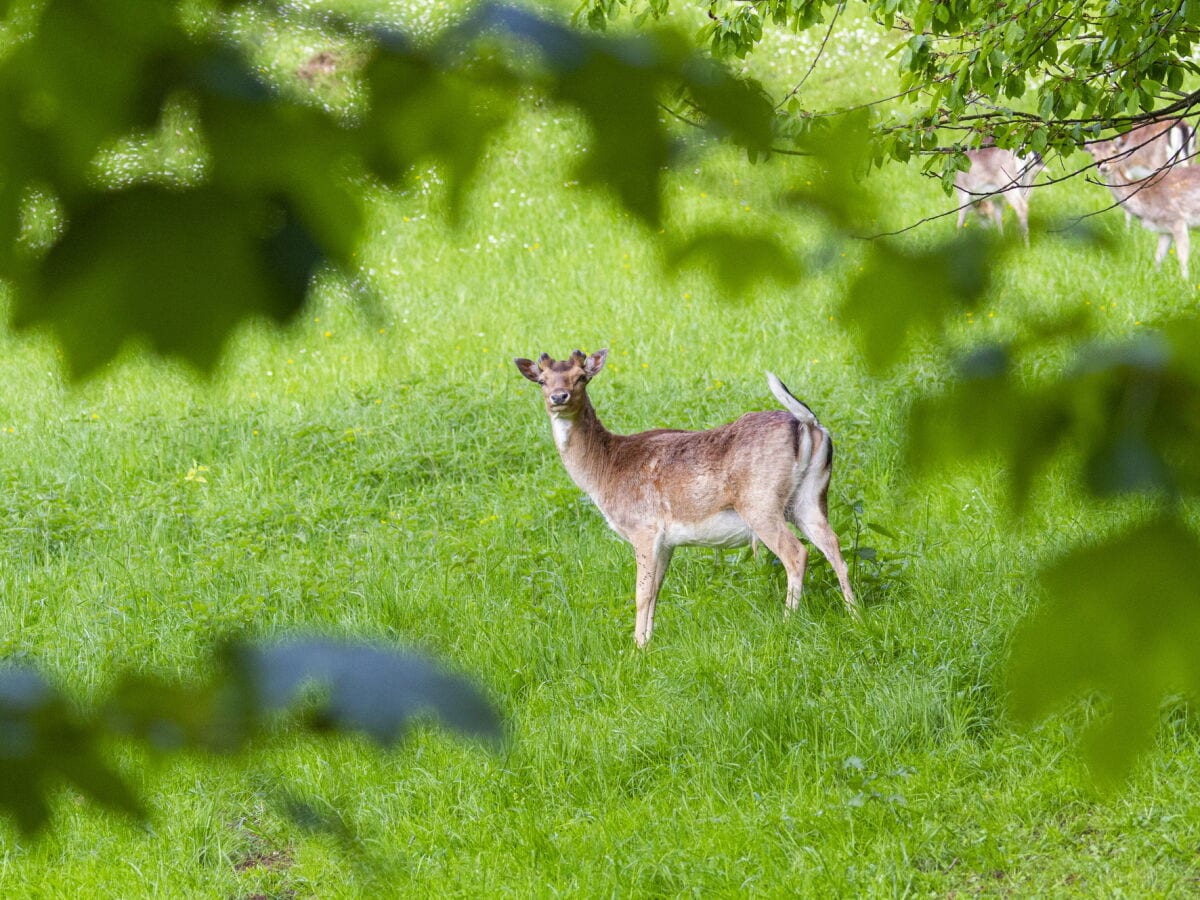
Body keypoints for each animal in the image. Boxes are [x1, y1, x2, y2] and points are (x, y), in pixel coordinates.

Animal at [511, 348, 859, 652]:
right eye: (542, 380)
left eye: (581, 377)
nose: (559, 397)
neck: (605, 473)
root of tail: (808, 424)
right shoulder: (667, 541)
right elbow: (656, 590)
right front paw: (649, 642)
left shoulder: (644, 528)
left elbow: (641, 592)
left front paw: (636, 649)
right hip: (810, 498)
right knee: (834, 545)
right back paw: (854, 613)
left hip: (761, 503)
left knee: (797, 552)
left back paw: (788, 621)